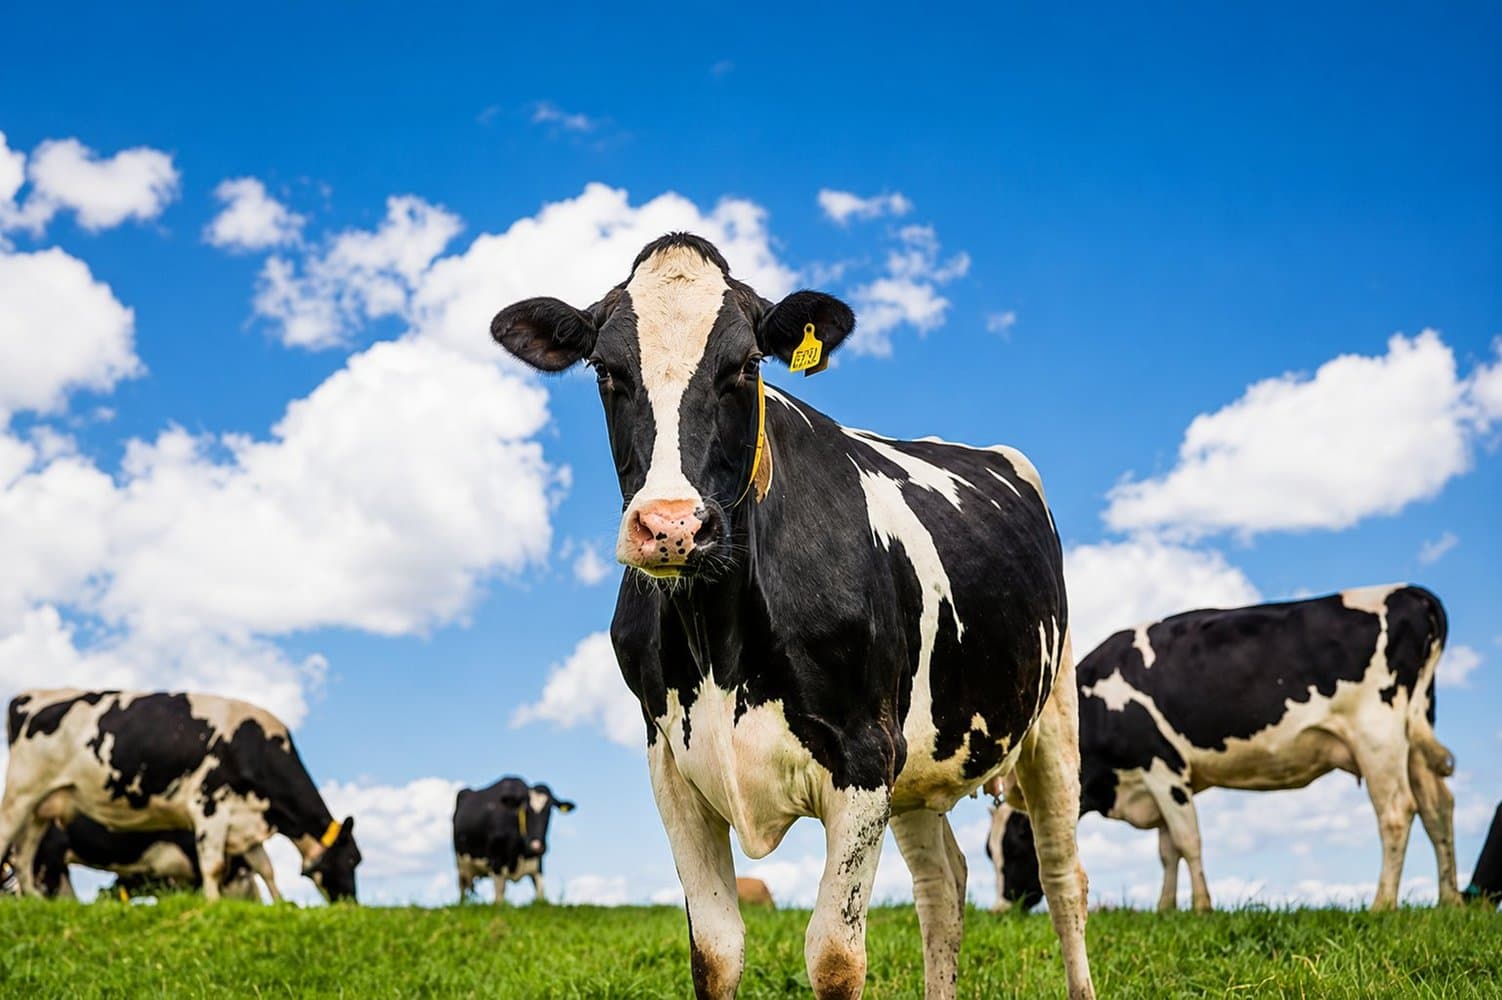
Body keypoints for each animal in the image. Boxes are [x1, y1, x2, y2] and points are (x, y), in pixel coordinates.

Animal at [490, 233, 1095, 999]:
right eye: (605, 368)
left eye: (747, 365)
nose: (672, 526)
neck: (717, 639)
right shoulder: (672, 768)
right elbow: (714, 953)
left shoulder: (864, 755)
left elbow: (835, 957)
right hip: (917, 765)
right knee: (942, 888)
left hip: (1053, 720)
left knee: (1063, 877)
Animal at [991, 585, 1460, 913]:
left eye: (1015, 844)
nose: (1000, 909)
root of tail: (1413, 594)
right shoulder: (1154, 781)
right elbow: (1168, 851)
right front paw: (1166, 909)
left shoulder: (1164, 767)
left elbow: (1188, 841)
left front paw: (1201, 907)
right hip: (1413, 737)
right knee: (1437, 806)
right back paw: (1450, 900)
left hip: (1377, 735)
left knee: (1397, 812)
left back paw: (1383, 904)